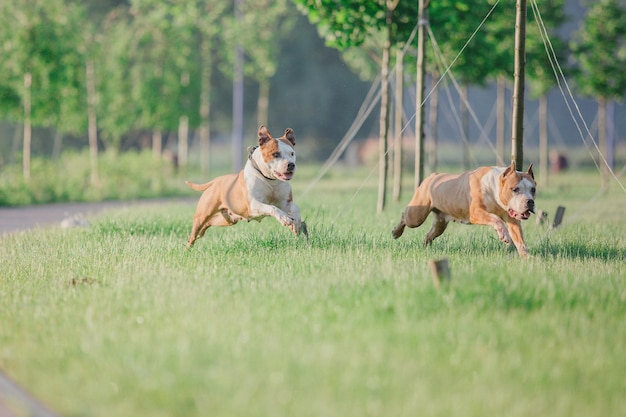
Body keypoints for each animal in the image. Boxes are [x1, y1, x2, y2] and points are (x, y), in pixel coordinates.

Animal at [390, 160, 532, 255]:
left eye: (533, 189)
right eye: (515, 189)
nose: (530, 202)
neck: (494, 187)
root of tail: (433, 176)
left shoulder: (512, 218)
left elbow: (518, 237)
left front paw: (526, 255)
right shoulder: (476, 212)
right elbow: (495, 218)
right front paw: (504, 235)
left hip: (440, 223)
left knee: (430, 234)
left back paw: (426, 246)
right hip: (416, 216)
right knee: (405, 217)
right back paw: (396, 232)